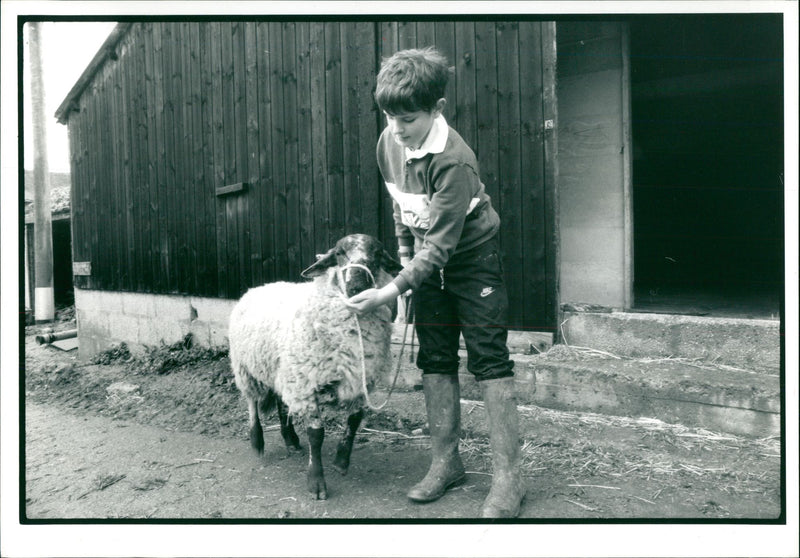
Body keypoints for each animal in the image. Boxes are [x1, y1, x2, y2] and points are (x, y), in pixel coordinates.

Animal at [228, 234, 404, 500]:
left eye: (377, 254)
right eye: (340, 253)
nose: (357, 286)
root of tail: (259, 287)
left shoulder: (360, 381)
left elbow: (354, 420)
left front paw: (341, 461)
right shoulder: (305, 384)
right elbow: (316, 434)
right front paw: (316, 482)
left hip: (282, 371)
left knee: (281, 404)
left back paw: (291, 440)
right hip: (246, 369)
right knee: (252, 403)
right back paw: (257, 440)